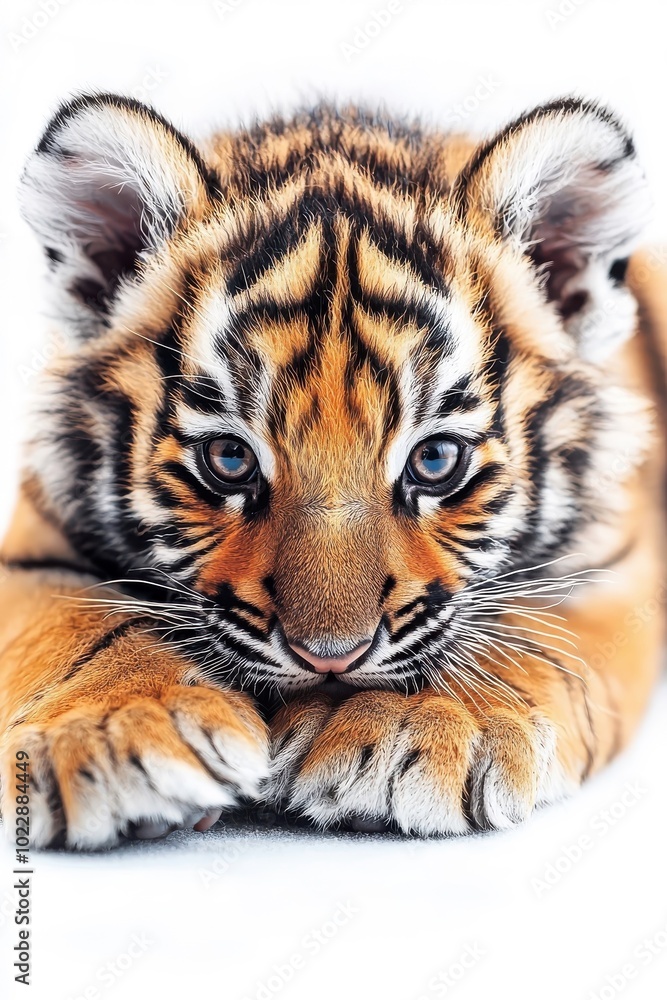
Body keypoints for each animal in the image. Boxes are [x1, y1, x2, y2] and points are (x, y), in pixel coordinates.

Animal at [0, 93, 665, 849]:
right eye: (229, 459)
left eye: (435, 461)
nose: (331, 658)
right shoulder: (32, 549)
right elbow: (76, 622)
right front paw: (123, 730)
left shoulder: (614, 567)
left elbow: (524, 634)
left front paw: (408, 728)